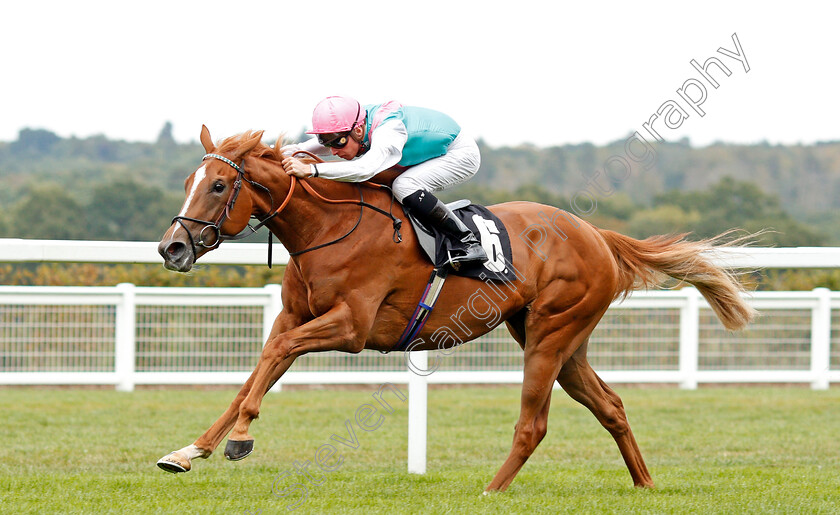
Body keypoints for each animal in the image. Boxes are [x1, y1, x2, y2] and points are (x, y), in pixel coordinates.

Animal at [154, 127, 756, 494]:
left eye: (219, 185)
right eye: (187, 182)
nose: (171, 248)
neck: (327, 228)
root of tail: (598, 235)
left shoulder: (351, 327)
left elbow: (275, 355)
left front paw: (239, 440)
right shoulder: (295, 318)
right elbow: (258, 369)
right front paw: (190, 449)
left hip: (550, 334)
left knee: (533, 424)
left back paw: (492, 490)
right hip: (562, 340)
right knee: (610, 405)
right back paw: (644, 484)